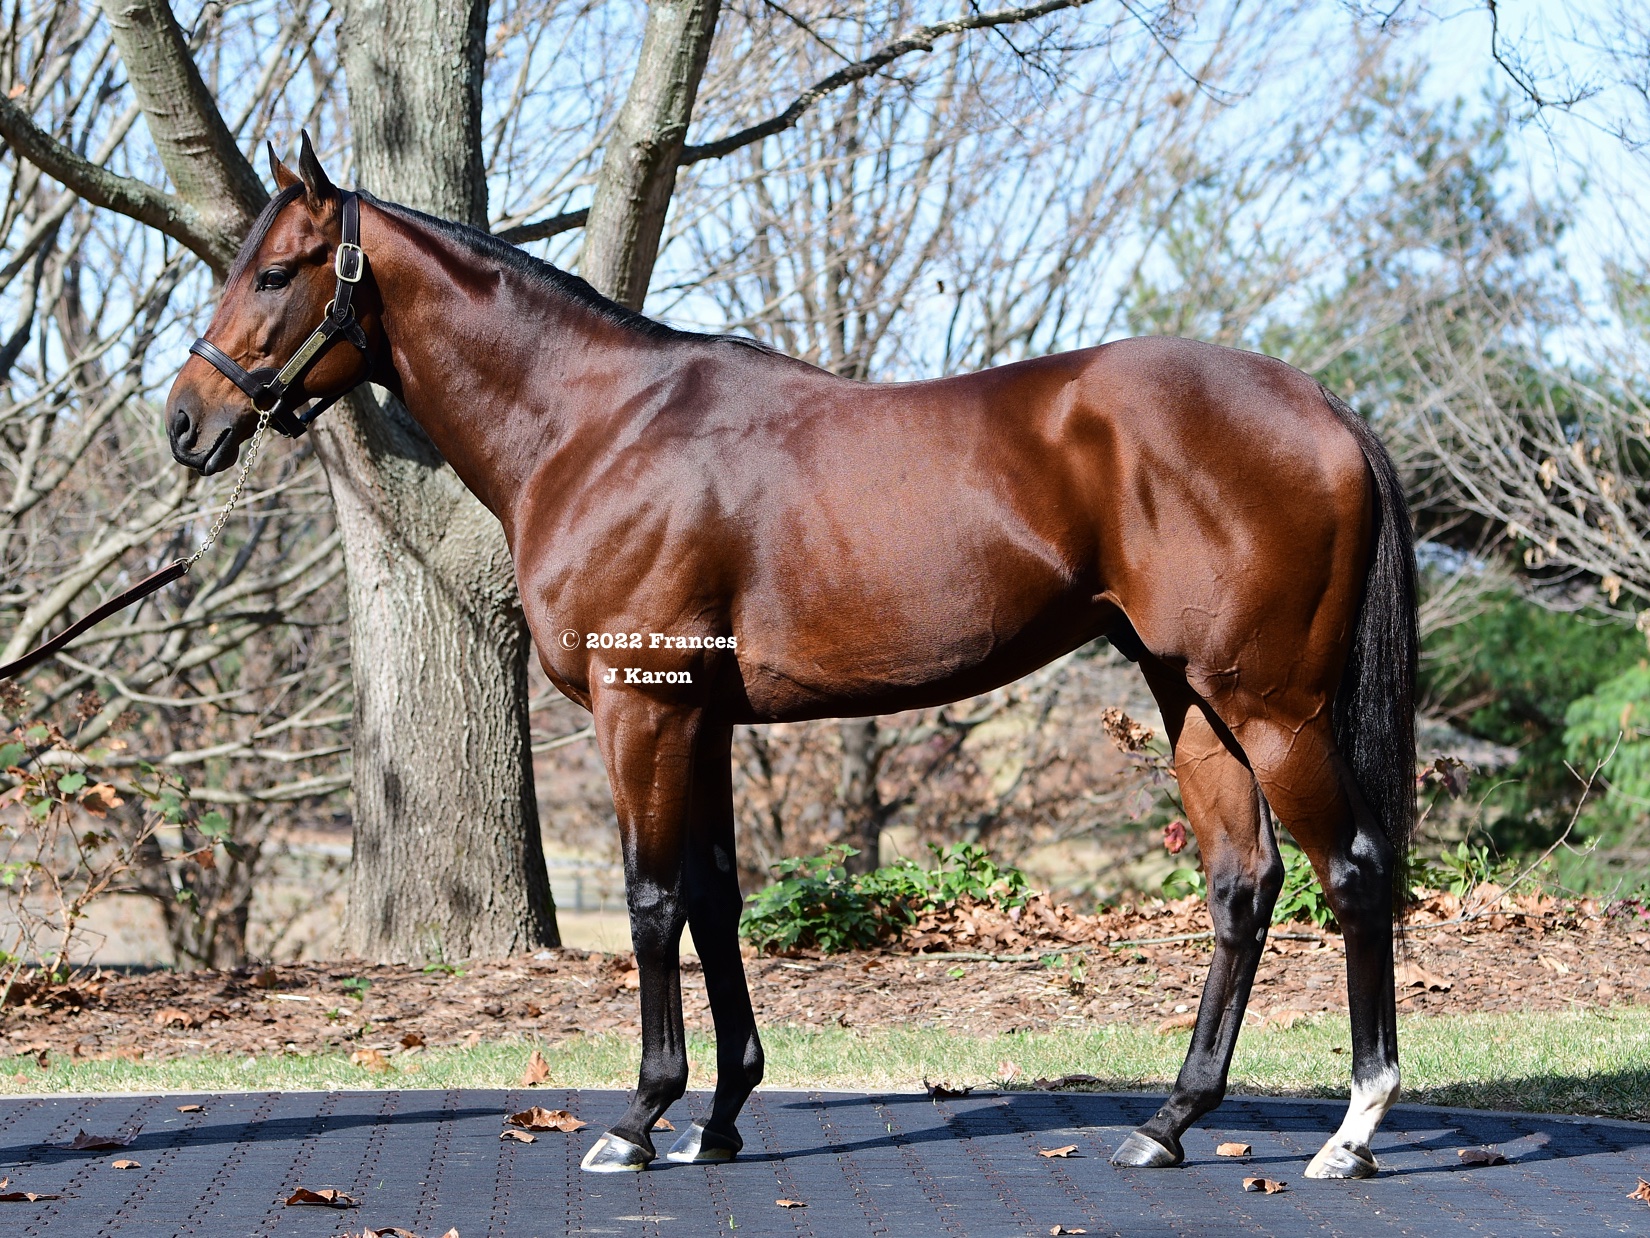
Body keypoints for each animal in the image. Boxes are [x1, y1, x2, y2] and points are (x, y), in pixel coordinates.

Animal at [166, 135, 1416, 1180]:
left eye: (276, 272)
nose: (185, 422)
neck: (596, 427)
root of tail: (1326, 409)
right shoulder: (706, 720)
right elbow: (718, 900)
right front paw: (720, 1115)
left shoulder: (643, 709)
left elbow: (654, 899)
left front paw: (640, 1118)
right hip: (1189, 696)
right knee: (1242, 883)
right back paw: (1169, 1121)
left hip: (1272, 703)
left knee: (1353, 871)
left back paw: (1352, 1129)